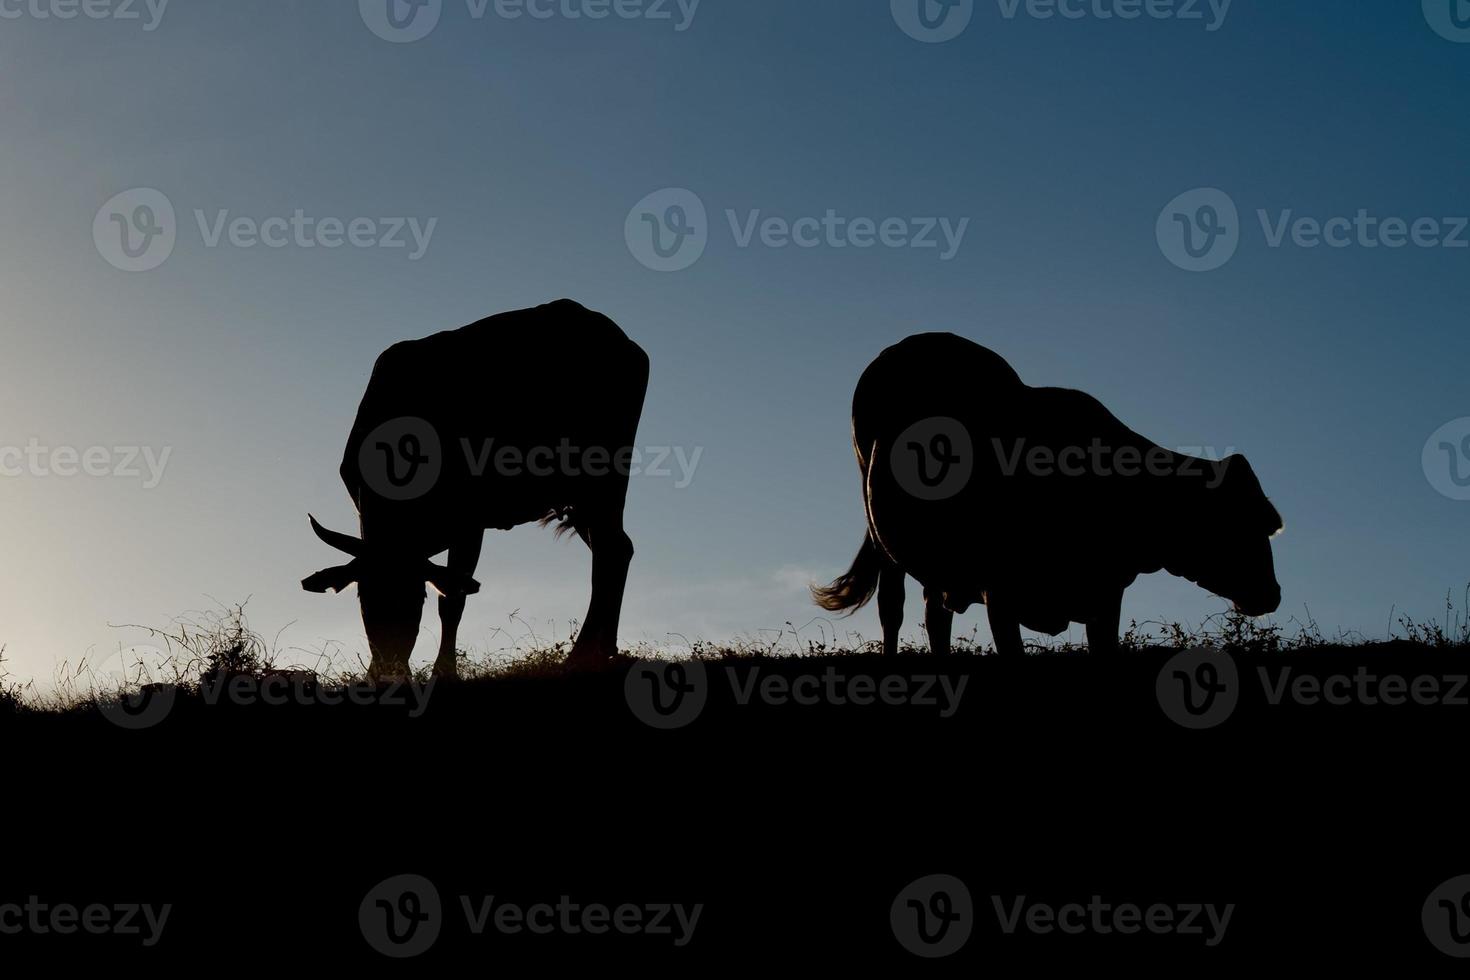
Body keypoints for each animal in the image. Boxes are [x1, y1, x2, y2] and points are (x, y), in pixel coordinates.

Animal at [301, 301, 646, 681]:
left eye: (416, 597)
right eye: (364, 597)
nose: (389, 668)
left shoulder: (469, 524)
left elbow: (452, 599)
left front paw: (444, 671)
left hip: (605, 481)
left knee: (611, 551)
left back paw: (583, 655)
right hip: (581, 500)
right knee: (615, 550)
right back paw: (601, 650)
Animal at [811, 334, 1281, 658]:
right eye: (1242, 523)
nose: (1273, 593)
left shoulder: (1106, 593)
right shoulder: (1000, 591)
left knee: (935, 611)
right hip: (882, 534)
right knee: (893, 607)